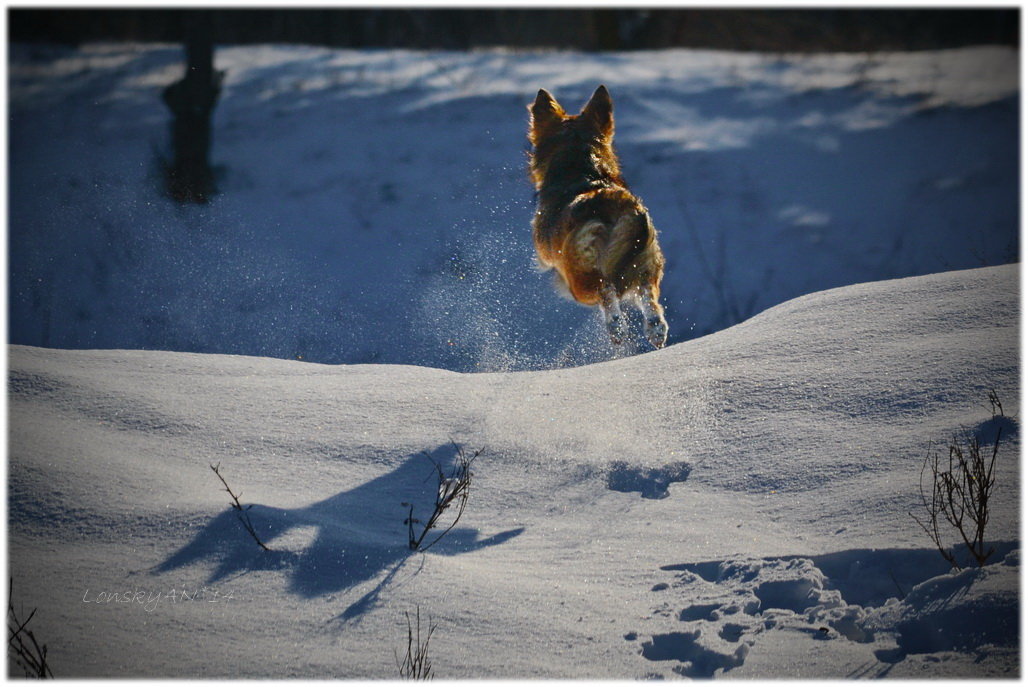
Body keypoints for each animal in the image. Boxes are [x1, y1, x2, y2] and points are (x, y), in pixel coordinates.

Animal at [530, 85, 666, 349]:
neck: (584, 171)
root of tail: (614, 203)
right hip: (648, 259)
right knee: (648, 296)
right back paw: (656, 330)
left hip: (580, 277)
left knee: (606, 290)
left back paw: (616, 327)